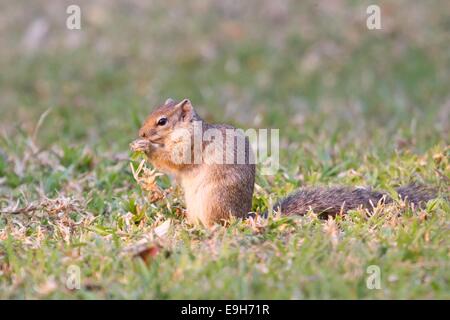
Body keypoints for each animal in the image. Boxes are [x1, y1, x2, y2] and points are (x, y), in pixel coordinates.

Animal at [132, 99, 438, 226]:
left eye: (162, 121)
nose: (141, 133)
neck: (186, 128)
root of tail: (243, 217)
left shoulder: (192, 145)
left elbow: (176, 160)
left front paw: (146, 148)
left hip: (213, 200)